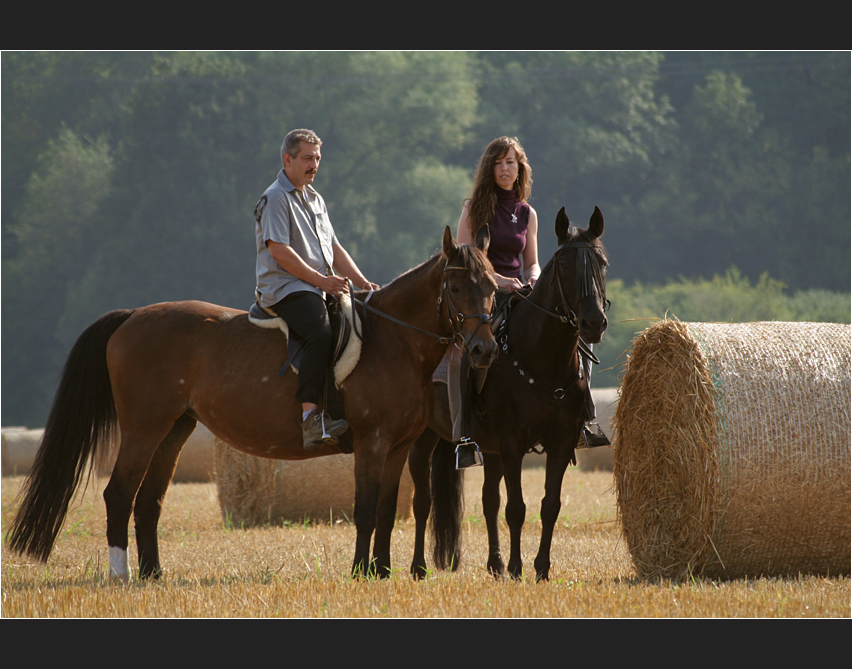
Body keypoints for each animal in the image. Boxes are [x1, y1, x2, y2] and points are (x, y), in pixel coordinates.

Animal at [8, 226, 500, 580]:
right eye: (457, 289)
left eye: (492, 286)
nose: (483, 349)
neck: (393, 340)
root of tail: (131, 316)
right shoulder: (373, 443)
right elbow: (364, 509)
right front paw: (362, 571)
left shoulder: (397, 447)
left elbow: (385, 508)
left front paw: (381, 571)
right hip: (143, 429)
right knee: (119, 493)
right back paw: (121, 574)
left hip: (174, 431)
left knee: (149, 500)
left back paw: (153, 574)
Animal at [410, 206, 608, 580]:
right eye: (564, 265)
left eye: (602, 262)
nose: (593, 323)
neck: (544, 359)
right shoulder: (514, 442)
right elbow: (517, 507)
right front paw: (518, 568)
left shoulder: (560, 442)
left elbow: (549, 505)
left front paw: (541, 569)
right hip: (424, 437)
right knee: (422, 501)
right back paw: (418, 566)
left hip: (490, 449)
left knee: (489, 501)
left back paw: (496, 564)